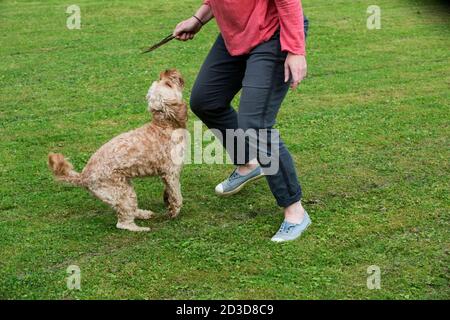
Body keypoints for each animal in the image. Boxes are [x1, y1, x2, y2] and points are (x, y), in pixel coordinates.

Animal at [49, 70, 188, 231]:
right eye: (168, 83)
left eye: (164, 80)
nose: (166, 71)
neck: (164, 126)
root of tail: (83, 176)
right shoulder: (171, 173)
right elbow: (177, 195)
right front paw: (174, 211)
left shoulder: (165, 175)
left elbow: (169, 191)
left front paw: (168, 202)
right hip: (122, 193)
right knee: (123, 223)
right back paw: (140, 228)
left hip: (124, 187)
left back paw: (143, 213)